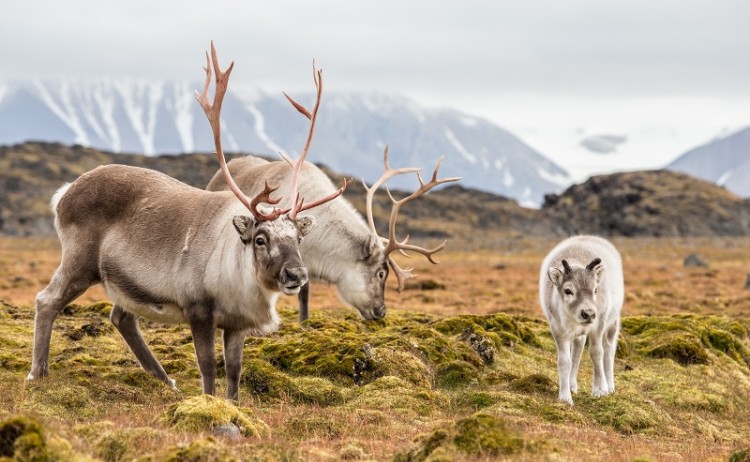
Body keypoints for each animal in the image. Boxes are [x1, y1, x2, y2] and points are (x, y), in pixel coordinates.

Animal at [26, 42, 346, 400]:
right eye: (261, 238)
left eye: (298, 237)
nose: (297, 274)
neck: (238, 274)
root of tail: (64, 194)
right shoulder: (199, 310)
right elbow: (207, 366)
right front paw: (208, 402)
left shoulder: (236, 323)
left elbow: (234, 370)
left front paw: (234, 405)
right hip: (80, 262)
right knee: (47, 300)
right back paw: (37, 372)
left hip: (123, 282)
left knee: (121, 317)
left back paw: (164, 379)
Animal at [539, 235, 624, 405]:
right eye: (568, 290)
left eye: (595, 290)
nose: (588, 314)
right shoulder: (558, 330)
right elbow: (564, 361)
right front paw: (565, 397)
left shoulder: (598, 326)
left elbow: (596, 353)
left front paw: (599, 390)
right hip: (579, 333)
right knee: (578, 348)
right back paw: (572, 385)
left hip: (612, 322)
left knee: (609, 349)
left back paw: (609, 386)